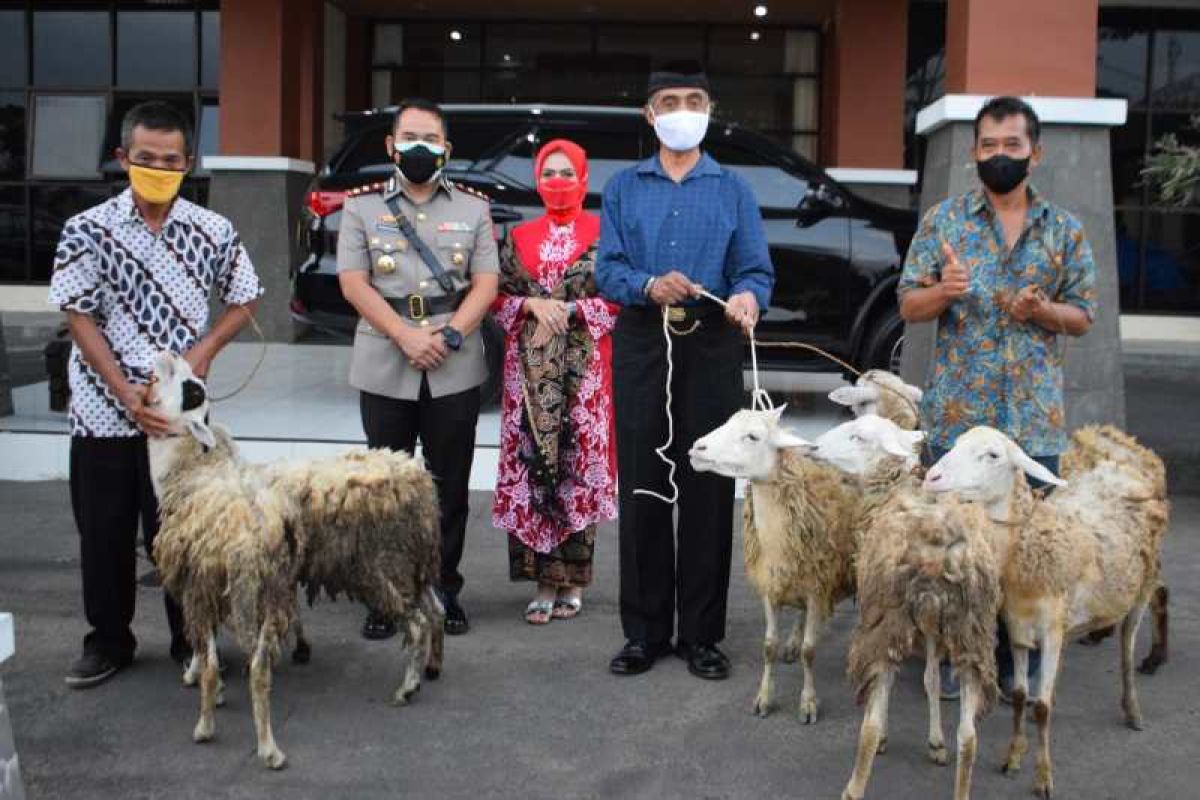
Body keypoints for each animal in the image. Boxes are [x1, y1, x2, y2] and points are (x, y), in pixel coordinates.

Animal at [145, 352, 444, 767]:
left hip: (378, 565)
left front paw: (205, 687)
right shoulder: (238, 584)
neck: (193, 470)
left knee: (416, 624)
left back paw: (406, 688)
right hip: (411, 563)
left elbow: (209, 651)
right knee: (436, 611)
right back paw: (431, 667)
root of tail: (418, 475)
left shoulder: (202, 582)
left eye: (191, 388)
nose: (170, 354)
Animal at [686, 410, 916, 724]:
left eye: (753, 436)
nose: (697, 448)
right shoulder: (771, 587)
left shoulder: (818, 590)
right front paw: (764, 697)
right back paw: (792, 641)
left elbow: (810, 651)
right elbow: (769, 646)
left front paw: (808, 702)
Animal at [921, 429, 1166, 796]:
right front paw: (1013, 756)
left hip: (1142, 586)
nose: (931, 477)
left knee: (1126, 647)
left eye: (993, 455)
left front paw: (1043, 777)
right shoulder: (1019, 631)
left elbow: (1043, 708)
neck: (1027, 544)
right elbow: (1021, 696)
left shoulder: (1050, 634)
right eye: (956, 443)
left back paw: (1133, 708)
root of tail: (1123, 443)